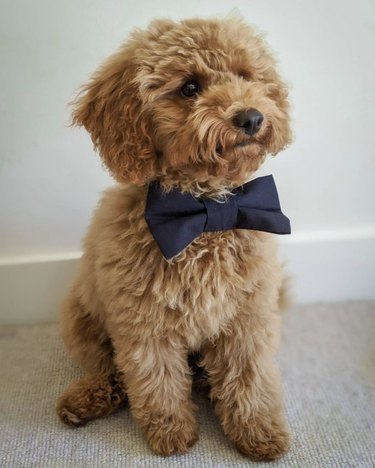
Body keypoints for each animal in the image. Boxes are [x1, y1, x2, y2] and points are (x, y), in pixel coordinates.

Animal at [57, 15, 294, 460]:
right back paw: (86, 399)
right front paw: (171, 433)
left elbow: (249, 376)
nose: (251, 118)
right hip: (80, 317)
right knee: (109, 370)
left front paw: (258, 431)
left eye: (246, 76)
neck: (205, 215)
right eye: (188, 88)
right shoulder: (144, 322)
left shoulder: (247, 316)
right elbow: (156, 379)